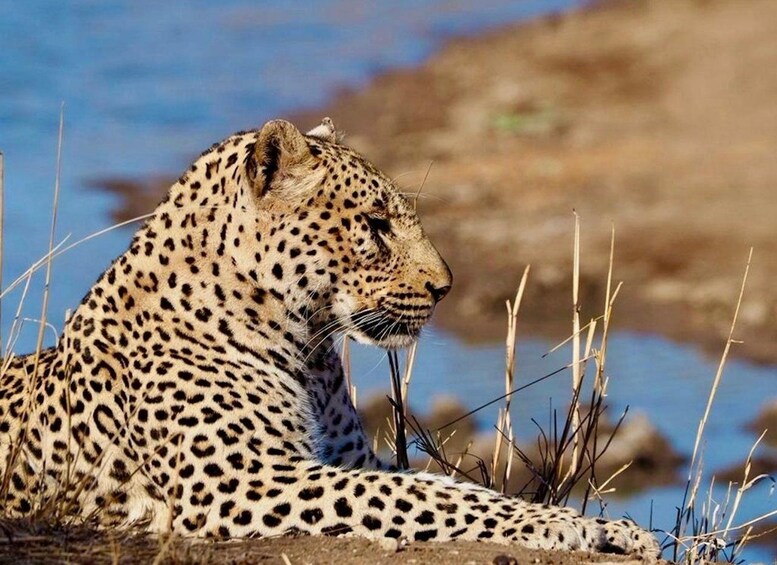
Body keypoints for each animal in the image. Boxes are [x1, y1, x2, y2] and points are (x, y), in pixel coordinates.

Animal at [0, 117, 660, 558]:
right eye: (375, 225)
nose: (445, 286)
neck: (305, 346)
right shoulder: (247, 481)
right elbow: (430, 500)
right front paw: (563, 526)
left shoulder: (349, 458)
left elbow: (437, 486)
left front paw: (613, 528)